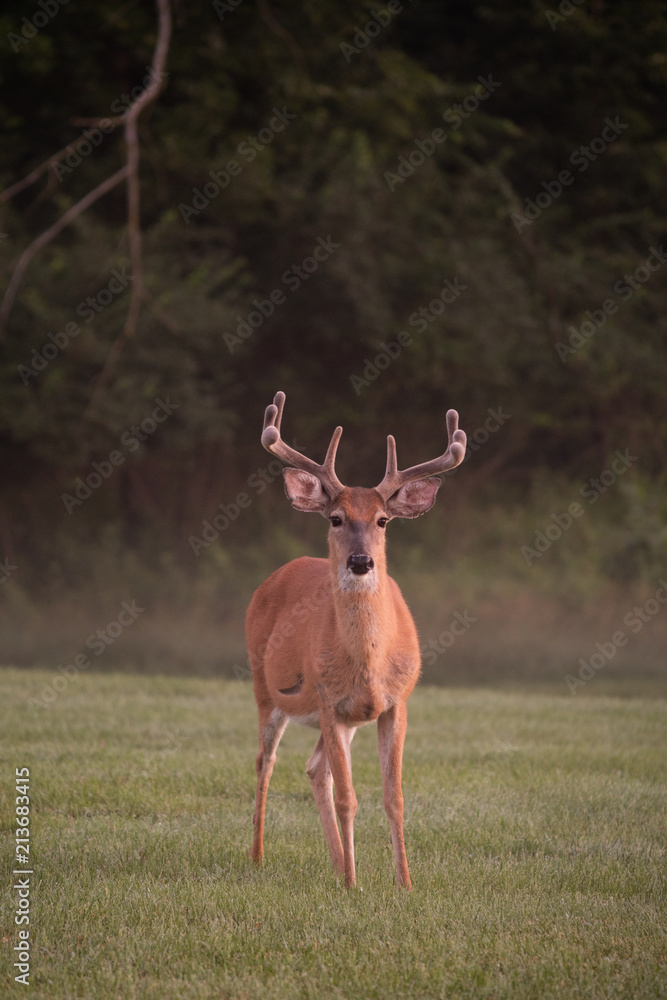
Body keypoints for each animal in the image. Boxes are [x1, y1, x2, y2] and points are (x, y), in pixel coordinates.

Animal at [246, 391, 466, 889]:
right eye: (335, 518)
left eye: (383, 520)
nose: (361, 561)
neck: (368, 663)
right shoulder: (328, 700)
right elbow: (350, 797)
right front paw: (352, 885)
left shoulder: (396, 703)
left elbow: (393, 797)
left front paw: (404, 884)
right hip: (267, 690)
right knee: (266, 763)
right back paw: (260, 857)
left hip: (342, 722)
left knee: (315, 771)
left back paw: (335, 861)